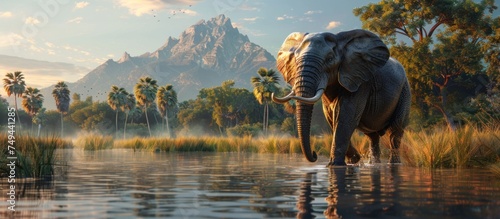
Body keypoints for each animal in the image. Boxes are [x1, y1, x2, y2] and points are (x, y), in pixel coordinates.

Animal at [274, 29, 410, 166]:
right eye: (296, 59)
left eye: (329, 59)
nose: (314, 154)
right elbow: (332, 118)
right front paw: (353, 159)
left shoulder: (359, 81)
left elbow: (344, 116)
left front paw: (335, 164)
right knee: (373, 136)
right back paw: (373, 164)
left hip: (405, 91)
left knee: (395, 132)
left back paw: (394, 163)